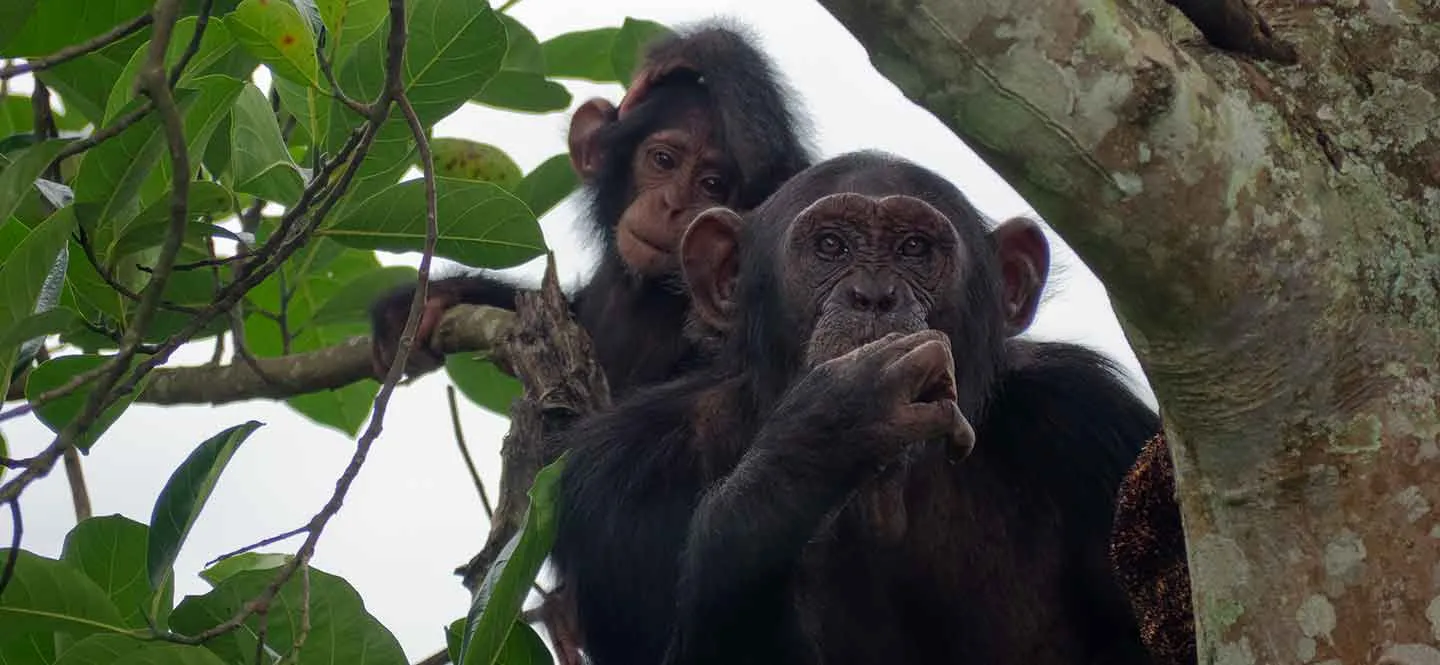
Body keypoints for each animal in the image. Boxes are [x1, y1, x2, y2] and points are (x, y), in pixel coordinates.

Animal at [547, 151, 1157, 665]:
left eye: (913, 249)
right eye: (831, 247)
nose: (874, 296)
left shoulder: (1092, 421)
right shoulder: (625, 479)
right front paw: (831, 427)